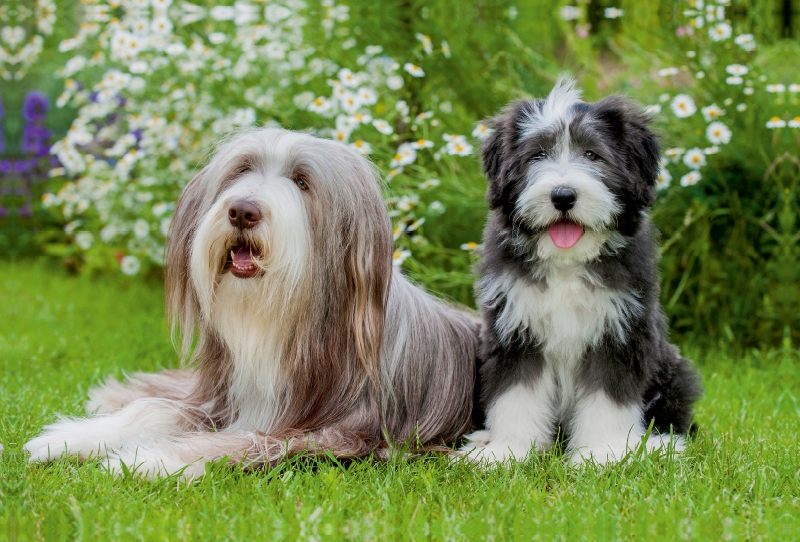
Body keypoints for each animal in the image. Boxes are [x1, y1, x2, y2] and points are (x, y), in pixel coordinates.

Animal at [25, 129, 478, 480]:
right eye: (242, 169)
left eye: (302, 182)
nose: (243, 211)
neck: (280, 321)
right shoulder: (221, 396)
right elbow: (155, 410)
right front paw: (70, 439)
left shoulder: (343, 434)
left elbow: (240, 442)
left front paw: (150, 458)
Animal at [462, 79, 700, 468]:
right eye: (537, 155)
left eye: (592, 155)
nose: (562, 195)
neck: (566, 262)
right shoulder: (515, 328)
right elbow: (515, 393)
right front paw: (507, 450)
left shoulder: (618, 331)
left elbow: (607, 396)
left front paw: (603, 453)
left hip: (675, 373)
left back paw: (657, 444)